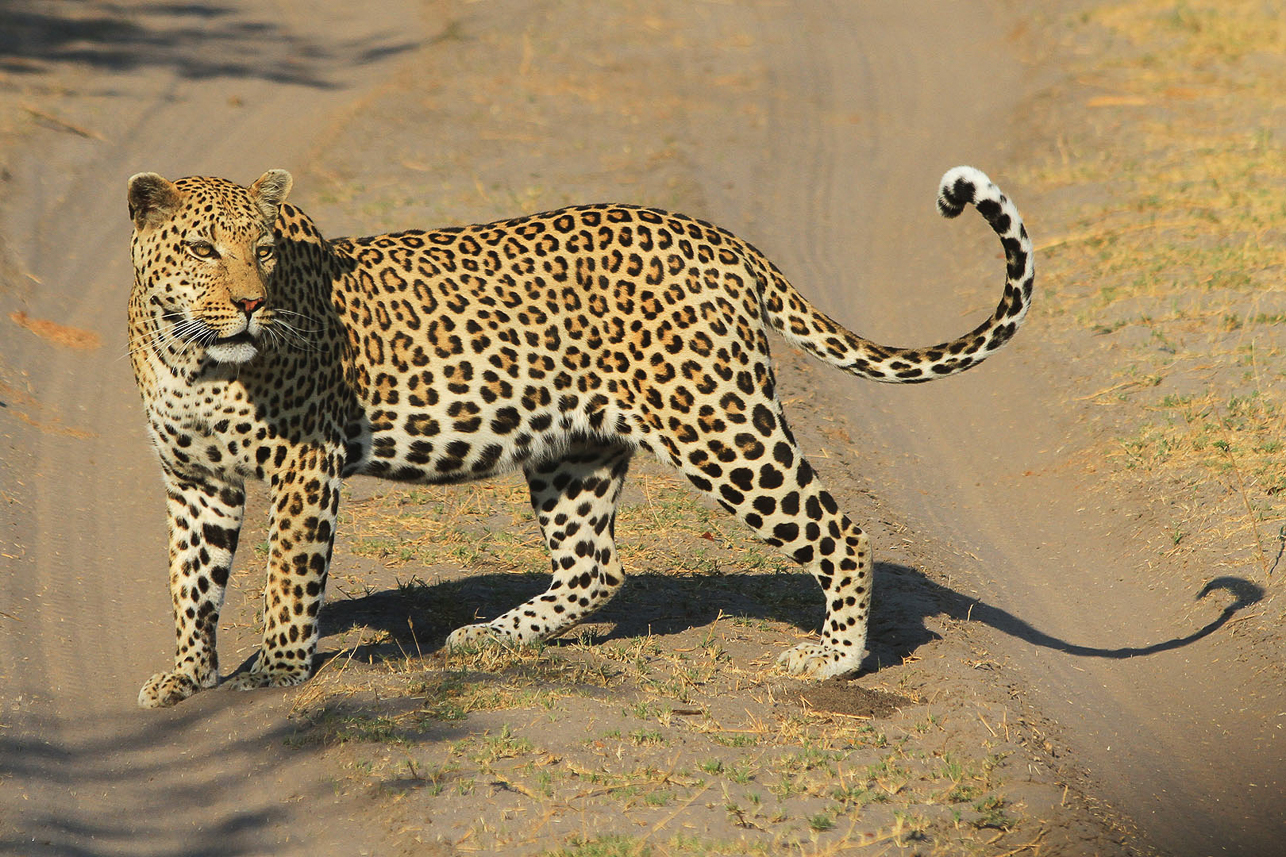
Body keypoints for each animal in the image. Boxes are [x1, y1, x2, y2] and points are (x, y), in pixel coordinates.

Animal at [127, 167, 1033, 705]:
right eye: (202, 247)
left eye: (264, 250)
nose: (251, 303)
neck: (189, 354)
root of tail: (724, 242)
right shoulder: (194, 479)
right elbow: (189, 582)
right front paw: (186, 675)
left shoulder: (303, 463)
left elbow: (288, 578)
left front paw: (275, 672)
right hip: (575, 449)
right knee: (596, 566)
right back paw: (491, 635)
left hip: (718, 421)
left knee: (837, 529)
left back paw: (833, 657)